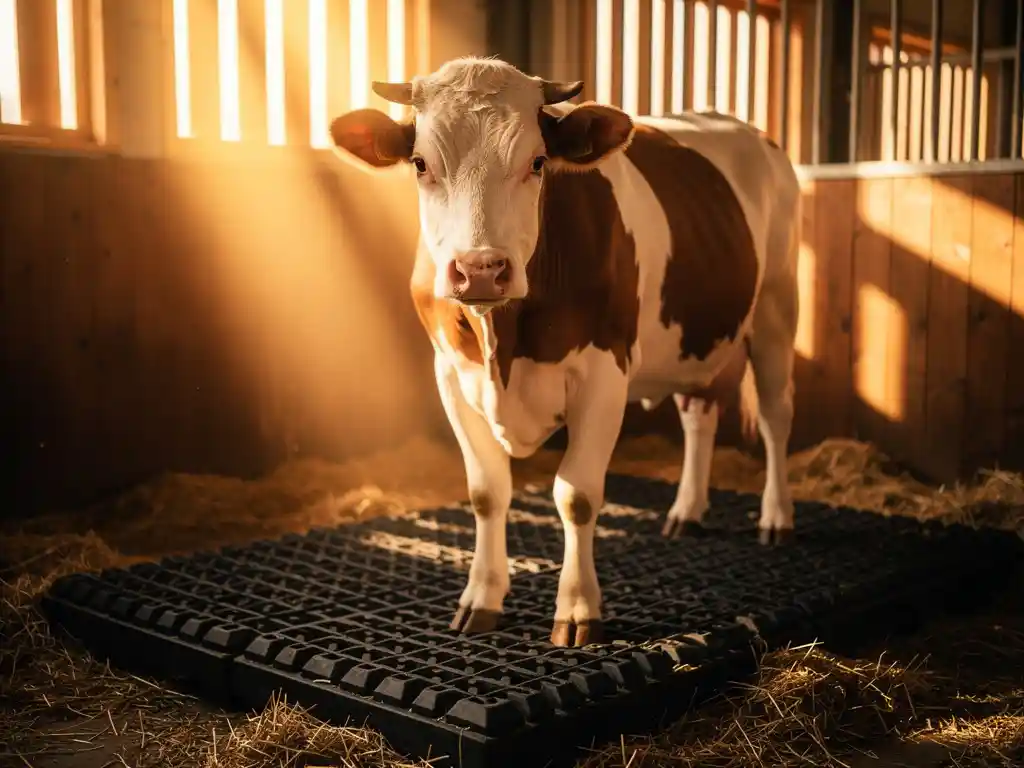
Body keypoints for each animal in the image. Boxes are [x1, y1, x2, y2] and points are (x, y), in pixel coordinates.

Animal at [328, 57, 801, 648]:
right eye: (419, 163)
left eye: (536, 162)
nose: (480, 268)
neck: (503, 343)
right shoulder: (451, 374)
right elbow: (486, 491)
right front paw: (480, 599)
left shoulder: (605, 372)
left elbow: (576, 495)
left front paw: (577, 611)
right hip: (698, 334)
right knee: (699, 414)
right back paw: (686, 511)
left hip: (778, 308)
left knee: (775, 417)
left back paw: (776, 518)